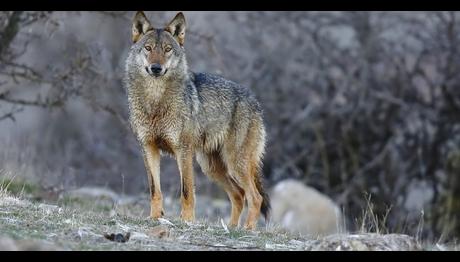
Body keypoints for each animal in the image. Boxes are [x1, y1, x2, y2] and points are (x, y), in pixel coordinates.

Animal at [126, 11, 270, 229]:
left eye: (167, 49)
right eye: (148, 48)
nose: (156, 68)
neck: (156, 101)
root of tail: (255, 101)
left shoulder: (183, 151)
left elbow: (187, 191)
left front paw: (187, 221)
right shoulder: (148, 148)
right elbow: (154, 189)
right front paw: (154, 218)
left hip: (235, 164)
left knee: (255, 197)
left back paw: (248, 230)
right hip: (212, 168)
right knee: (239, 195)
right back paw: (231, 228)